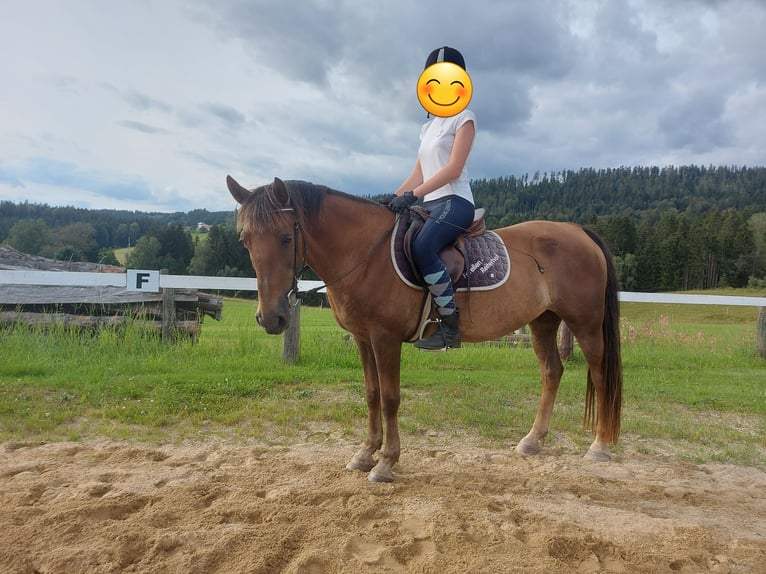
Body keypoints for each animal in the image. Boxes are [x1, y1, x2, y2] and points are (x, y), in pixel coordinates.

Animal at [230, 178, 624, 484]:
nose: (271, 318)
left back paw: (600, 446)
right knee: (552, 372)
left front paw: (386, 463)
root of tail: (577, 230)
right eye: (244, 240)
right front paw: (365, 454)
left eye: (285, 237)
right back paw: (532, 441)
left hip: (586, 324)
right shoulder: (362, 337)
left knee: (600, 374)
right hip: (543, 321)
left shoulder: (385, 338)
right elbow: (371, 395)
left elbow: (390, 398)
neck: (365, 253)